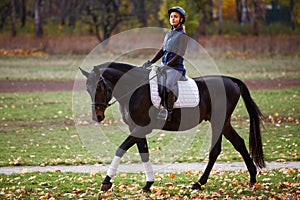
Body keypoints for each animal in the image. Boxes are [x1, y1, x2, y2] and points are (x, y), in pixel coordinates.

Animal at [79, 61, 264, 192]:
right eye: (87, 88)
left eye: (99, 87)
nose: (97, 117)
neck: (135, 89)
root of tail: (230, 80)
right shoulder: (136, 128)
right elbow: (144, 153)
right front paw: (148, 184)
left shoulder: (141, 128)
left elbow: (120, 149)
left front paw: (106, 182)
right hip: (223, 123)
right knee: (238, 143)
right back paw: (252, 179)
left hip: (218, 121)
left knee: (215, 151)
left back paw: (199, 183)